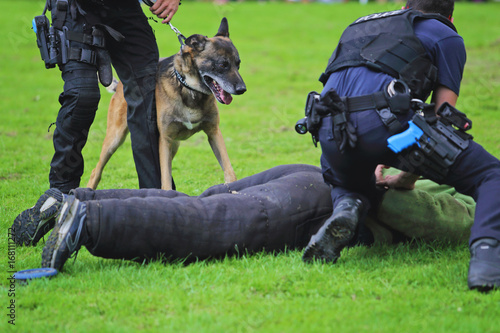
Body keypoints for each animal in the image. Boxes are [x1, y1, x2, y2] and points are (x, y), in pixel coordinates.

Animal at [86, 18, 246, 189]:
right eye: (222, 65)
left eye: (238, 64)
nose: (242, 89)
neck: (188, 88)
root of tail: (121, 86)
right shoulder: (164, 140)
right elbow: (165, 181)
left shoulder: (213, 132)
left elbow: (229, 171)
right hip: (115, 138)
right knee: (96, 170)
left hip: (173, 146)